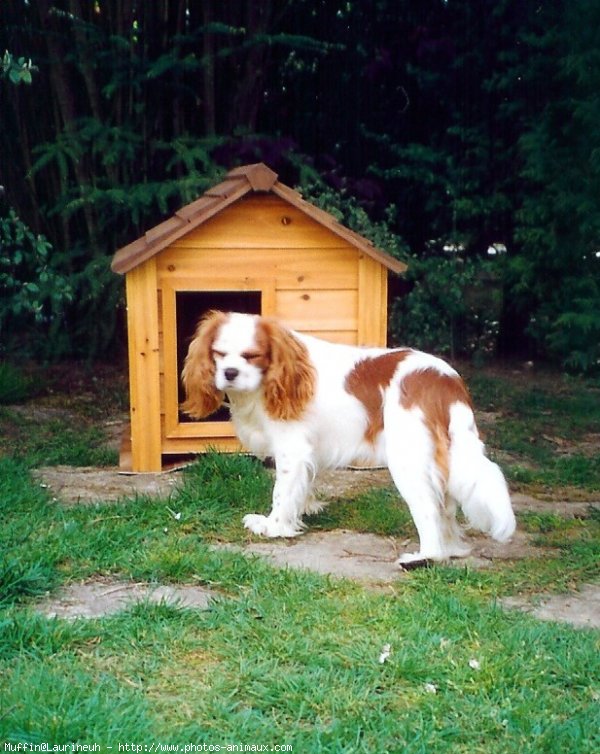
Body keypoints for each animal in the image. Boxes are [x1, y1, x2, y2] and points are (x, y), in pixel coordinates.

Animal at [182, 310, 516, 564]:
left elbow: (282, 492)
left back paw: (424, 557)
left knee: (429, 510)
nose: (230, 372)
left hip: (408, 460)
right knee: (446, 507)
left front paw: (274, 526)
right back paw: (452, 550)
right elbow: (303, 486)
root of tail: (444, 379)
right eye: (218, 354)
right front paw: (303, 511)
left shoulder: (292, 449)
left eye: (252, 356)